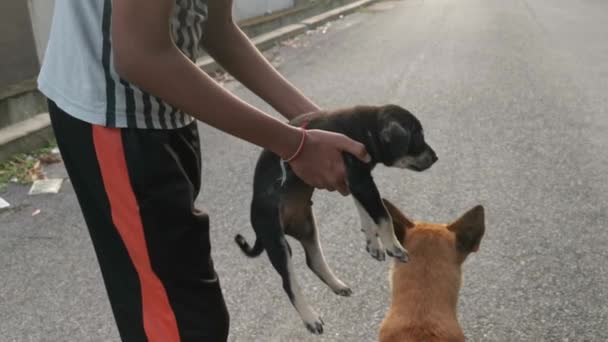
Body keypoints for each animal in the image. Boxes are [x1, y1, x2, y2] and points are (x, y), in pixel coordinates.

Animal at [233, 104, 436, 334]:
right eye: (417, 137)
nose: (436, 157)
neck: (366, 129)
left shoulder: (356, 182)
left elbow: (366, 213)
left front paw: (373, 243)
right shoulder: (360, 180)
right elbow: (383, 216)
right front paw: (394, 246)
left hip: (307, 226)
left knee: (313, 261)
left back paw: (338, 285)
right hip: (276, 240)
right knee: (288, 283)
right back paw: (311, 318)